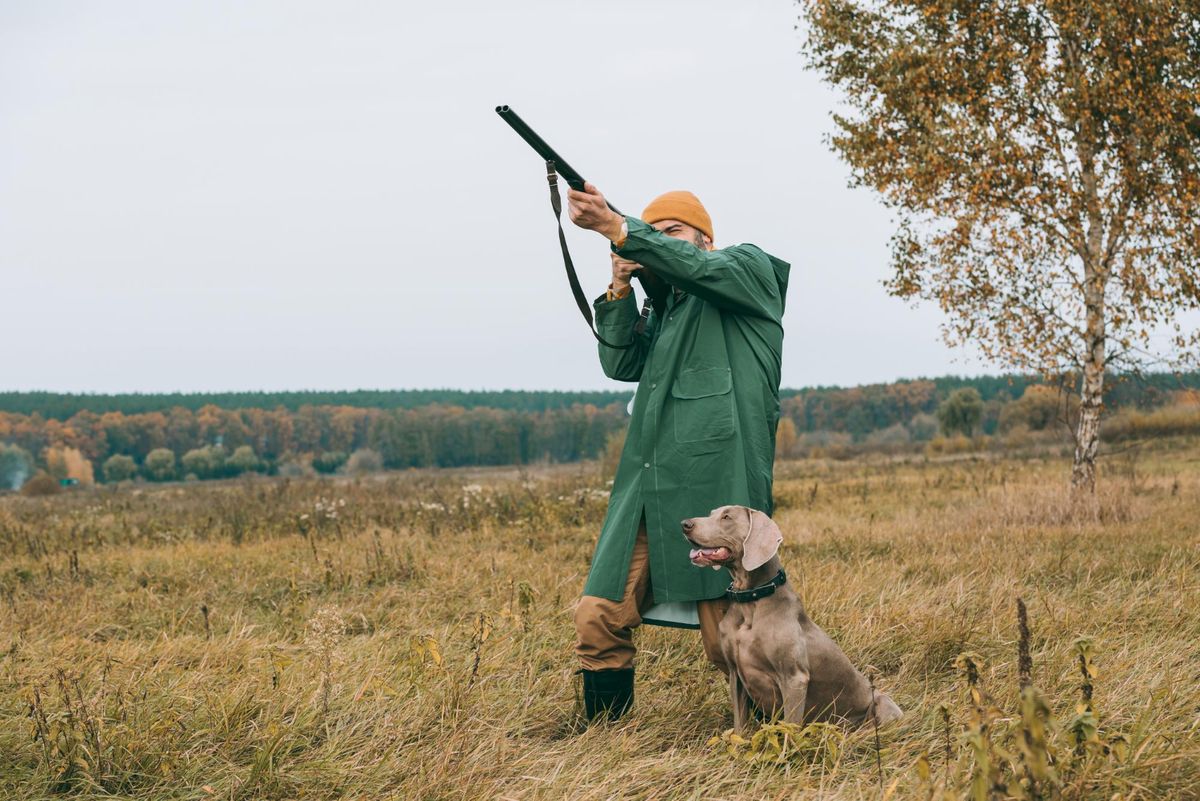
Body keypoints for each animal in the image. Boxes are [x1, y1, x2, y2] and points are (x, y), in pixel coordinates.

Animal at [686, 506, 902, 733]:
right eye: (711, 513)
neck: (751, 601)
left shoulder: (794, 678)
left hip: (884, 703)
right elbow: (740, 726)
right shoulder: (735, 675)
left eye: (727, 517)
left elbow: (790, 728)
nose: (685, 524)